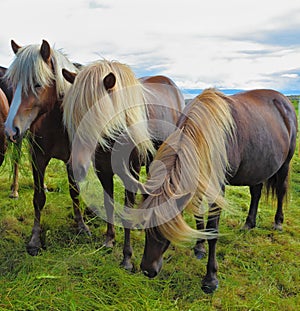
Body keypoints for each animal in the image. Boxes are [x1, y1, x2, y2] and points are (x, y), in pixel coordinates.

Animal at [4, 39, 89, 256]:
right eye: (13, 84)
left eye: (37, 84)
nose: (10, 130)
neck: (57, 122)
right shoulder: (38, 158)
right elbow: (38, 198)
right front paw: (35, 239)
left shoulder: (72, 159)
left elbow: (75, 191)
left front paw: (81, 225)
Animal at [61, 59, 185, 270]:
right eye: (73, 117)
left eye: (97, 117)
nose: (76, 167)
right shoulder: (103, 172)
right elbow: (109, 204)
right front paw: (109, 239)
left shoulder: (131, 174)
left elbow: (126, 211)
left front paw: (127, 257)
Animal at [138, 89, 298, 294]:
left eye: (166, 228)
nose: (147, 270)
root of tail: (284, 101)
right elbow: (199, 218)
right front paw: (199, 247)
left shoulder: (217, 190)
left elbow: (213, 230)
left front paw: (210, 279)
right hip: (257, 168)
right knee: (256, 193)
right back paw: (249, 224)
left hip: (284, 165)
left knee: (280, 191)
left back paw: (278, 222)